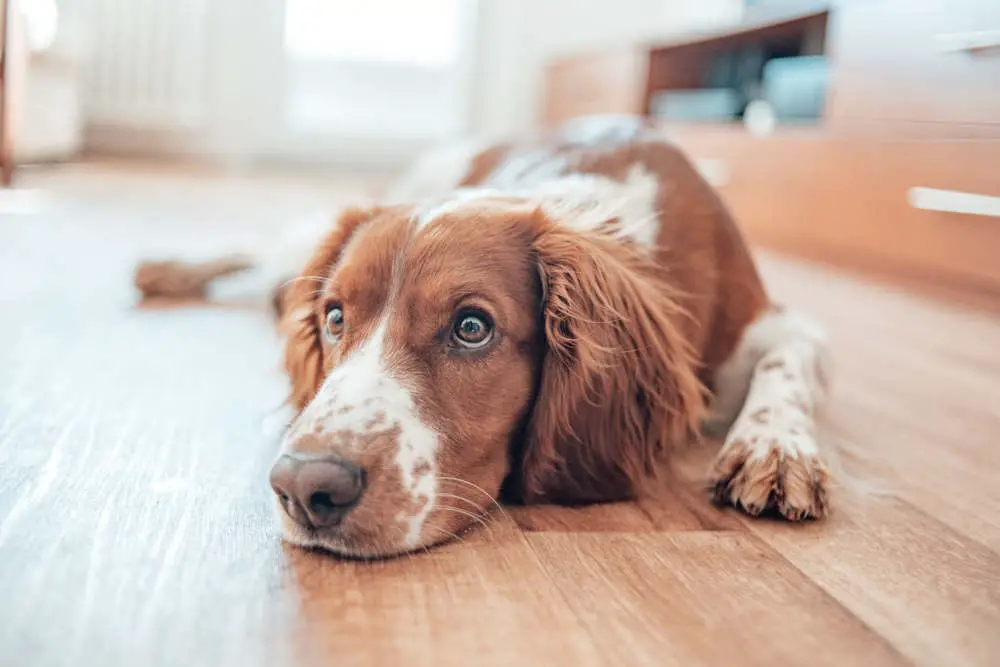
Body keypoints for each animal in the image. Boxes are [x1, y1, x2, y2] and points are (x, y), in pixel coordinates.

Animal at [137, 115, 832, 560]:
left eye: (472, 328)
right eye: (335, 317)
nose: (306, 486)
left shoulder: (772, 323)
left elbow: (788, 360)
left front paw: (776, 448)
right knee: (261, 248)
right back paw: (165, 268)